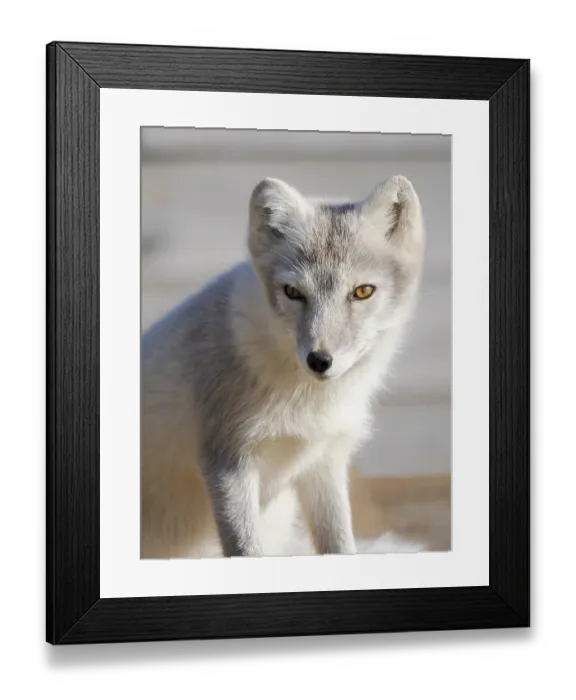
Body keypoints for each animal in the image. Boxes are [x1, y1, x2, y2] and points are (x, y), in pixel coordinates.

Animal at [140, 174, 425, 559]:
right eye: (293, 292)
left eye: (363, 292)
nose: (319, 360)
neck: (307, 401)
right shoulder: (227, 461)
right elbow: (245, 549)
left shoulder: (324, 462)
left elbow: (339, 543)